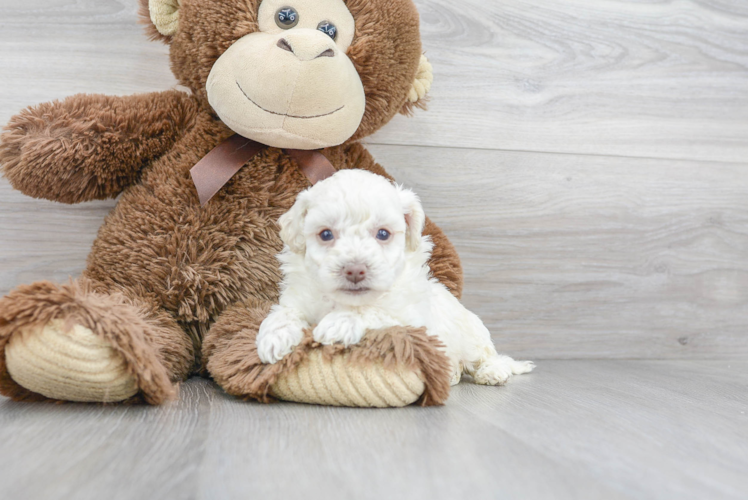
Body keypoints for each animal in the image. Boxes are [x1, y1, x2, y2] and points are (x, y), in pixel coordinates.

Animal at [260, 170, 536, 384]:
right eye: (326, 234)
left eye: (383, 234)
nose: (355, 270)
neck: (344, 301)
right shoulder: (299, 300)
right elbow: (284, 313)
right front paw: (274, 336)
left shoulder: (413, 322)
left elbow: (377, 311)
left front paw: (340, 323)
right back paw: (452, 374)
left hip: (473, 336)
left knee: (487, 356)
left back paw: (492, 371)